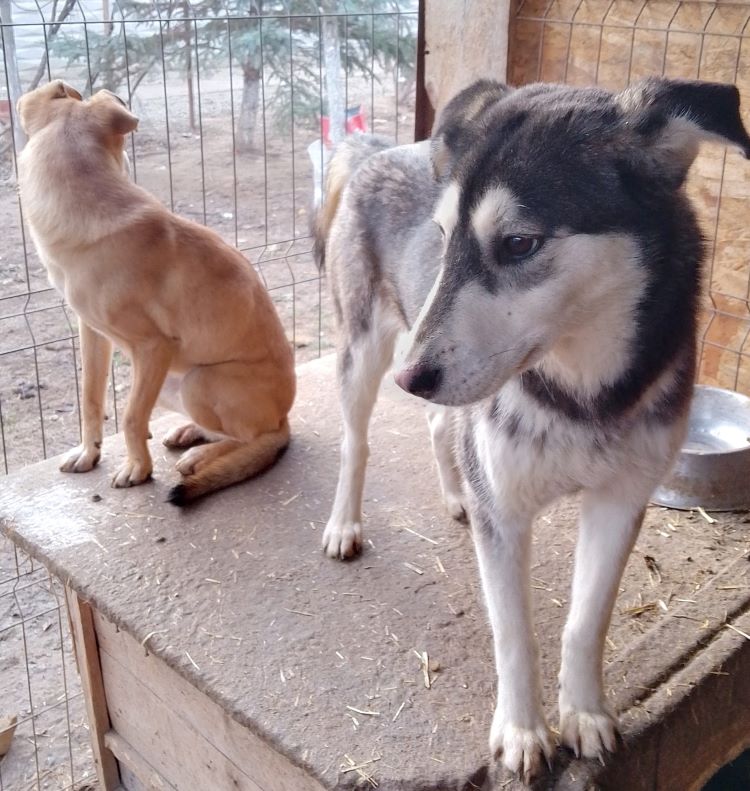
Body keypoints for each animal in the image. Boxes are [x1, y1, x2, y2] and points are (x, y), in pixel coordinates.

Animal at [16, 79, 296, 502]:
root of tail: (284, 417)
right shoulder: (93, 333)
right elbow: (90, 399)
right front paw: (88, 452)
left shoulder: (152, 347)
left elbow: (131, 418)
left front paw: (138, 468)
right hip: (170, 384)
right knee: (223, 430)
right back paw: (190, 432)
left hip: (199, 380)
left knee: (251, 437)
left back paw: (201, 456)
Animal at [314, 77, 750, 784]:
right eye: (442, 236)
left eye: (518, 243)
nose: (412, 378)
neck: (583, 393)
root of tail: (381, 146)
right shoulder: (507, 514)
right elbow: (514, 634)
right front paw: (522, 732)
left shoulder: (620, 500)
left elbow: (586, 623)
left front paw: (585, 715)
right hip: (366, 350)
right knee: (360, 443)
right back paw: (345, 524)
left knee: (440, 425)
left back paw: (456, 493)